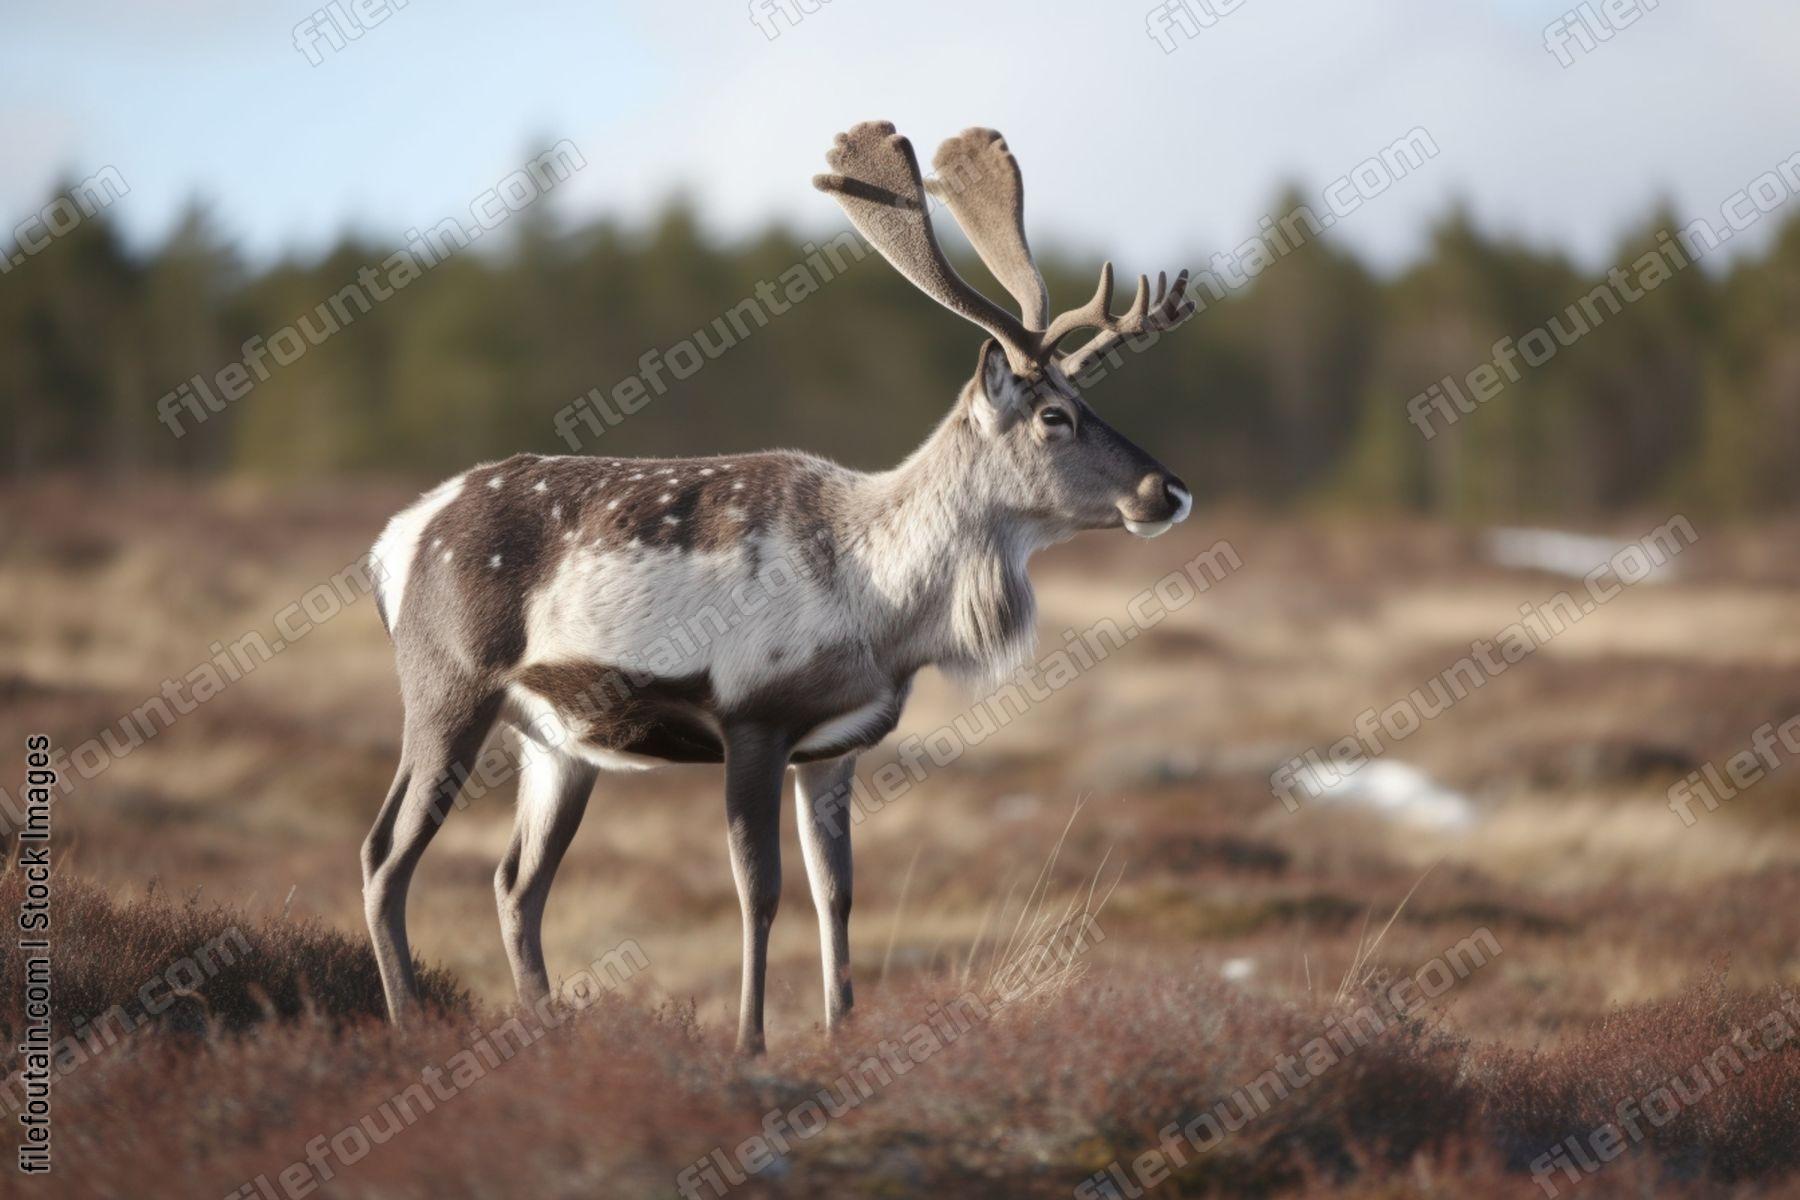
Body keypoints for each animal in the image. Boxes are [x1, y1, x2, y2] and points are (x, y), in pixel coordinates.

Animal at [361, 121, 1194, 1052]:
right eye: (1056, 415)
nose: (1168, 491)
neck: (882, 613)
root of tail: (393, 542)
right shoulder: (752, 715)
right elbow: (759, 894)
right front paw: (751, 1045)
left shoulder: (834, 747)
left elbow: (838, 895)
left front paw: (841, 1033)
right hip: (447, 686)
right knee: (386, 853)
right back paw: (408, 1022)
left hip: (555, 738)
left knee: (515, 880)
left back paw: (543, 1031)